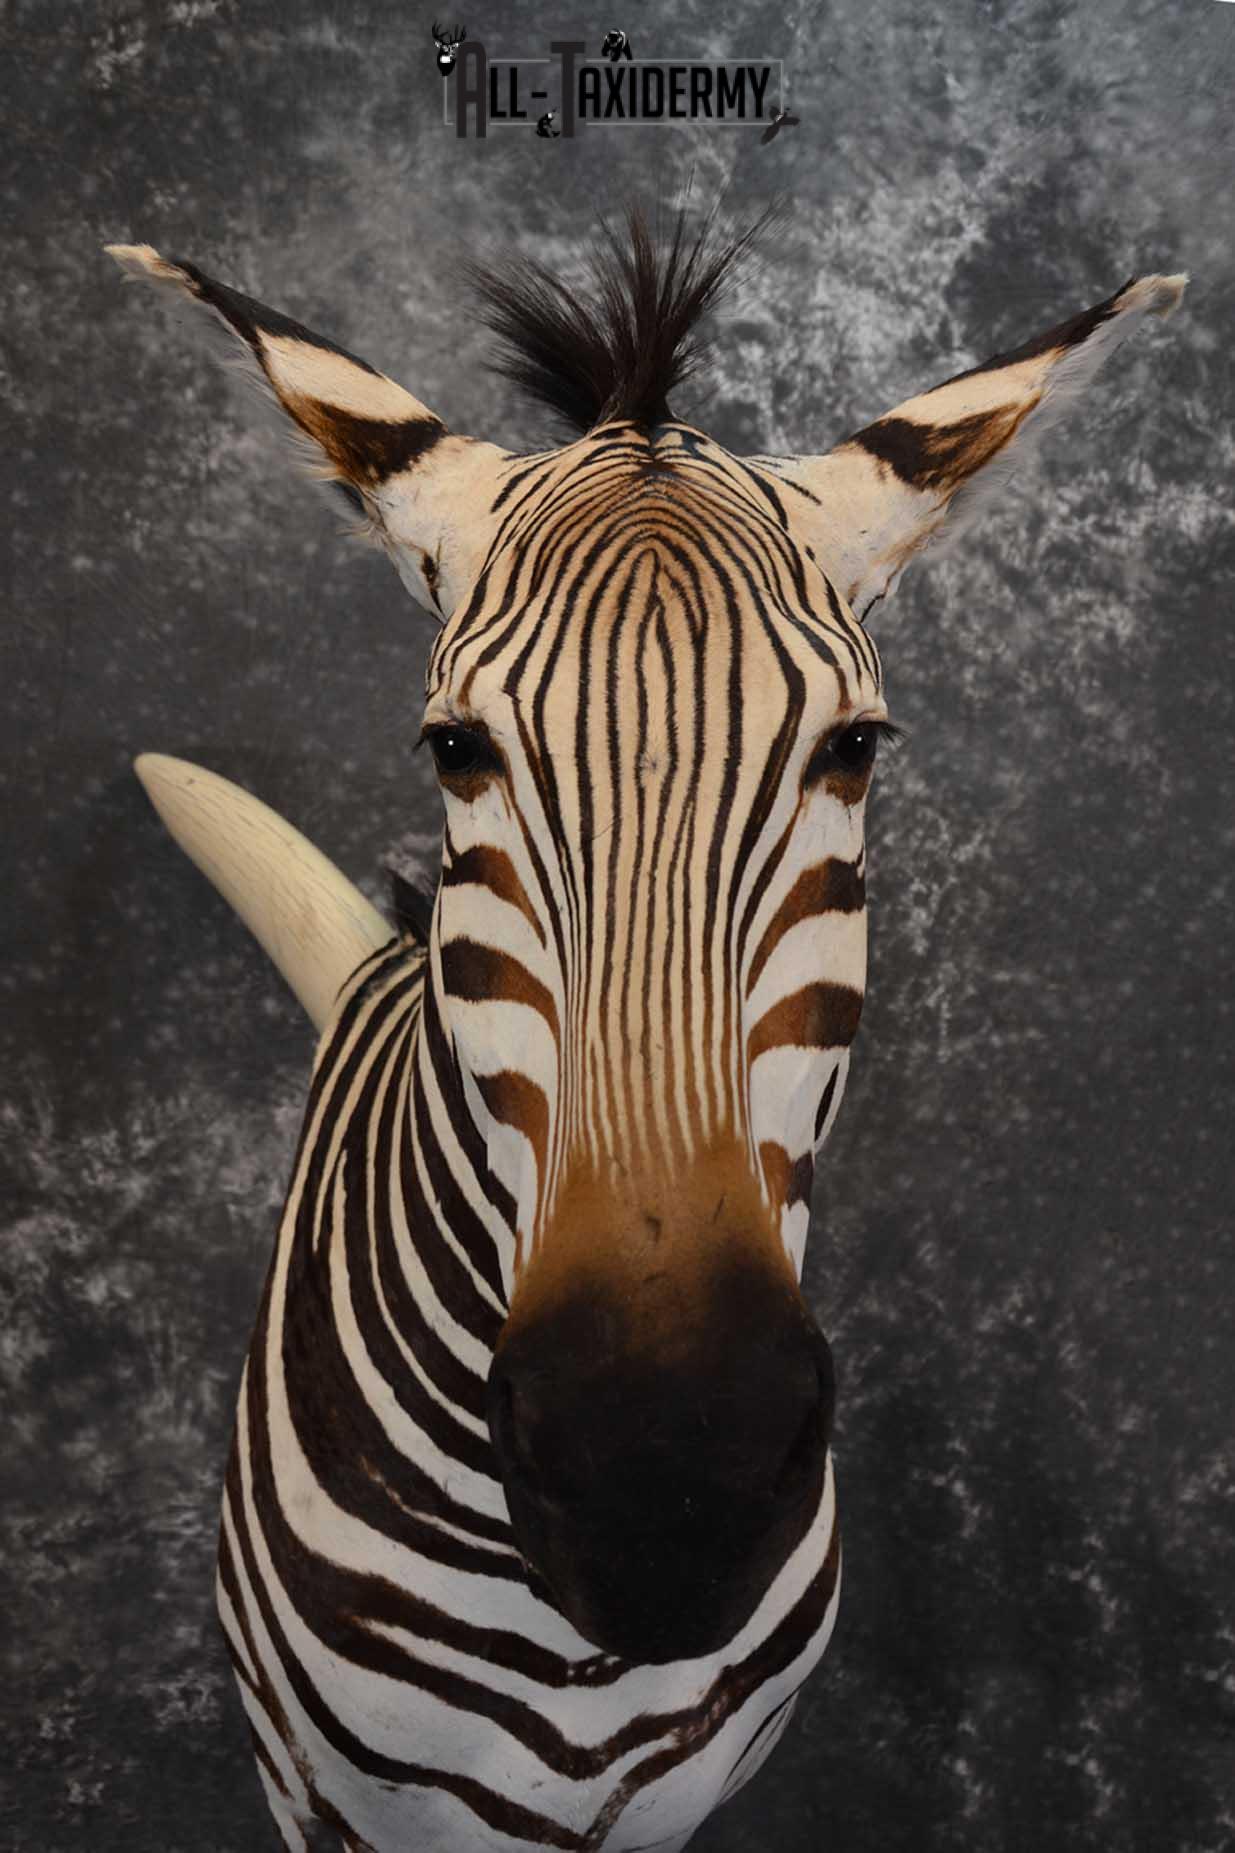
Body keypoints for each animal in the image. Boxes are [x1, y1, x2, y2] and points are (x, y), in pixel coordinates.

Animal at [106, 211, 1185, 1852]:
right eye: (454, 748)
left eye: (854, 748)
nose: (664, 1477)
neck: (573, 1644)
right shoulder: (328, 1792)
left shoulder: (679, 1798)